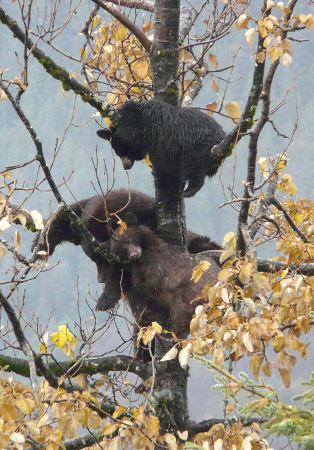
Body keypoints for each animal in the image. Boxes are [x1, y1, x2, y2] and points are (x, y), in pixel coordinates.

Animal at [31, 188, 221, 312]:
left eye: (104, 260)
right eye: (93, 260)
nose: (100, 279)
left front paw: (104, 299)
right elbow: (60, 219)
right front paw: (40, 247)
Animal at [96, 99, 226, 198]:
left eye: (119, 151)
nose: (125, 166)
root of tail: (221, 137)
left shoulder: (136, 124)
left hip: (197, 147)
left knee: (194, 167)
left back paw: (189, 190)